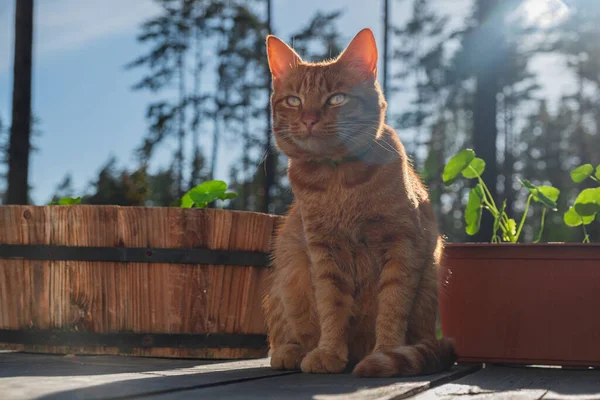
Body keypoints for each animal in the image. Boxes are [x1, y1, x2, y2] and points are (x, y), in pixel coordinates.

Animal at [262, 28, 454, 378]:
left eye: (336, 98)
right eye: (294, 101)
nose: (309, 119)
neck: (338, 180)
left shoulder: (401, 244)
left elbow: (392, 305)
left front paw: (386, 352)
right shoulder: (323, 250)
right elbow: (331, 306)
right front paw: (327, 352)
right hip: (287, 271)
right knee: (287, 330)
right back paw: (292, 350)